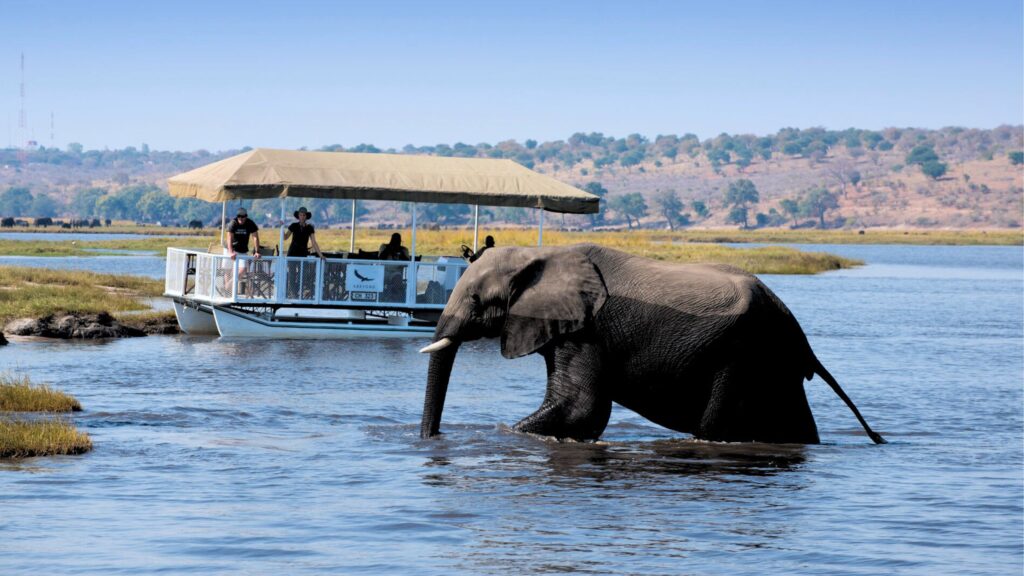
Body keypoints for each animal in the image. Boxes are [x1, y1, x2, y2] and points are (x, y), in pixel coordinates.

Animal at [419, 242, 884, 444]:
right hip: (771, 361)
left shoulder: (589, 328)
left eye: (475, 300)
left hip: (742, 354)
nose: (431, 439)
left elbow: (581, 406)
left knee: (716, 424)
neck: (542, 254)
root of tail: (796, 330)